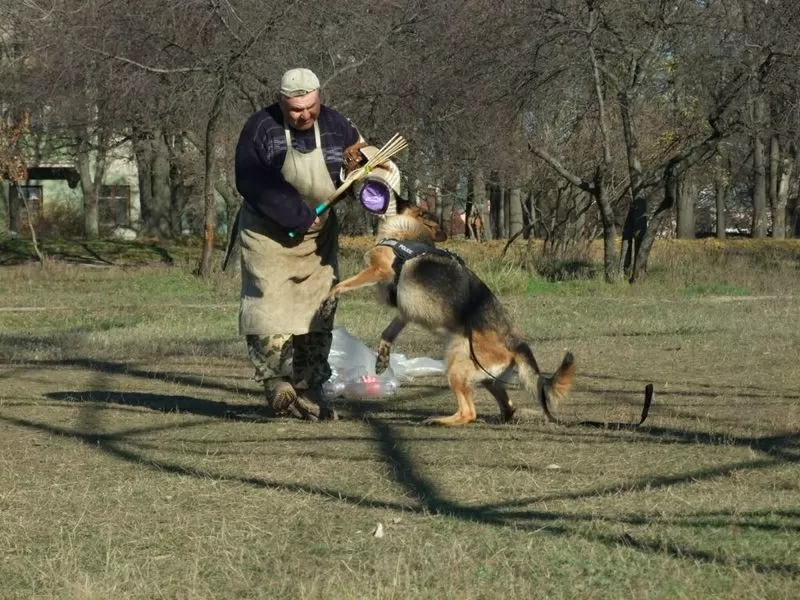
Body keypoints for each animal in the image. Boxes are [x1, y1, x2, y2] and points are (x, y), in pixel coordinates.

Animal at [324, 199, 576, 424]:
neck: (409, 234)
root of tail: (517, 344)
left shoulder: (378, 270)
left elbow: (342, 284)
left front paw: (329, 297)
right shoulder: (404, 313)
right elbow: (388, 333)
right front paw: (383, 358)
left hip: (456, 364)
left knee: (468, 413)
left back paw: (438, 420)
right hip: (486, 378)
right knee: (506, 406)